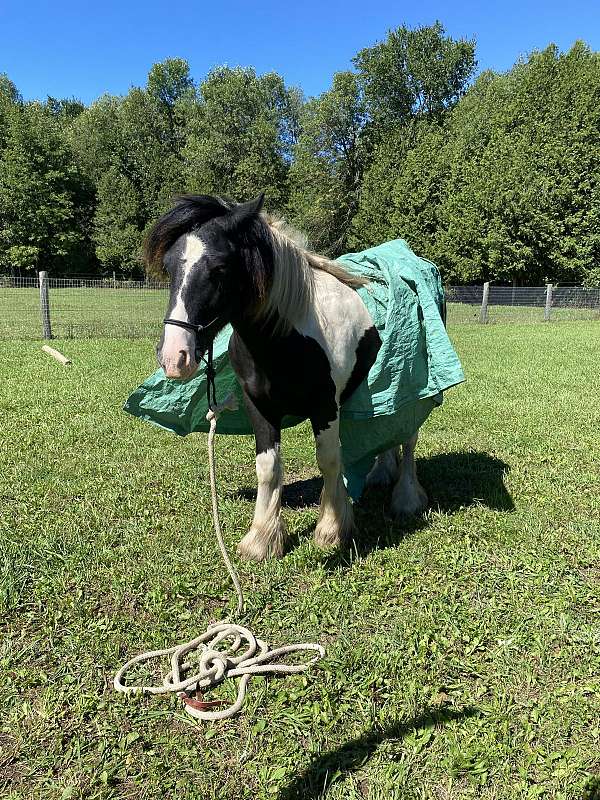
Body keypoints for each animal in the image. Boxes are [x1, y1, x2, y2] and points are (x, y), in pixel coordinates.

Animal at [147, 192, 432, 564]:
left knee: (408, 438)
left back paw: (406, 498)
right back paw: (381, 474)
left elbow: (329, 460)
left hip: (412, 385)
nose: (174, 356)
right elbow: (268, 467)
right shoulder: (259, 406)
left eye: (220, 268)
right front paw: (262, 540)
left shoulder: (325, 407)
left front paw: (331, 530)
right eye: (169, 267)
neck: (286, 336)